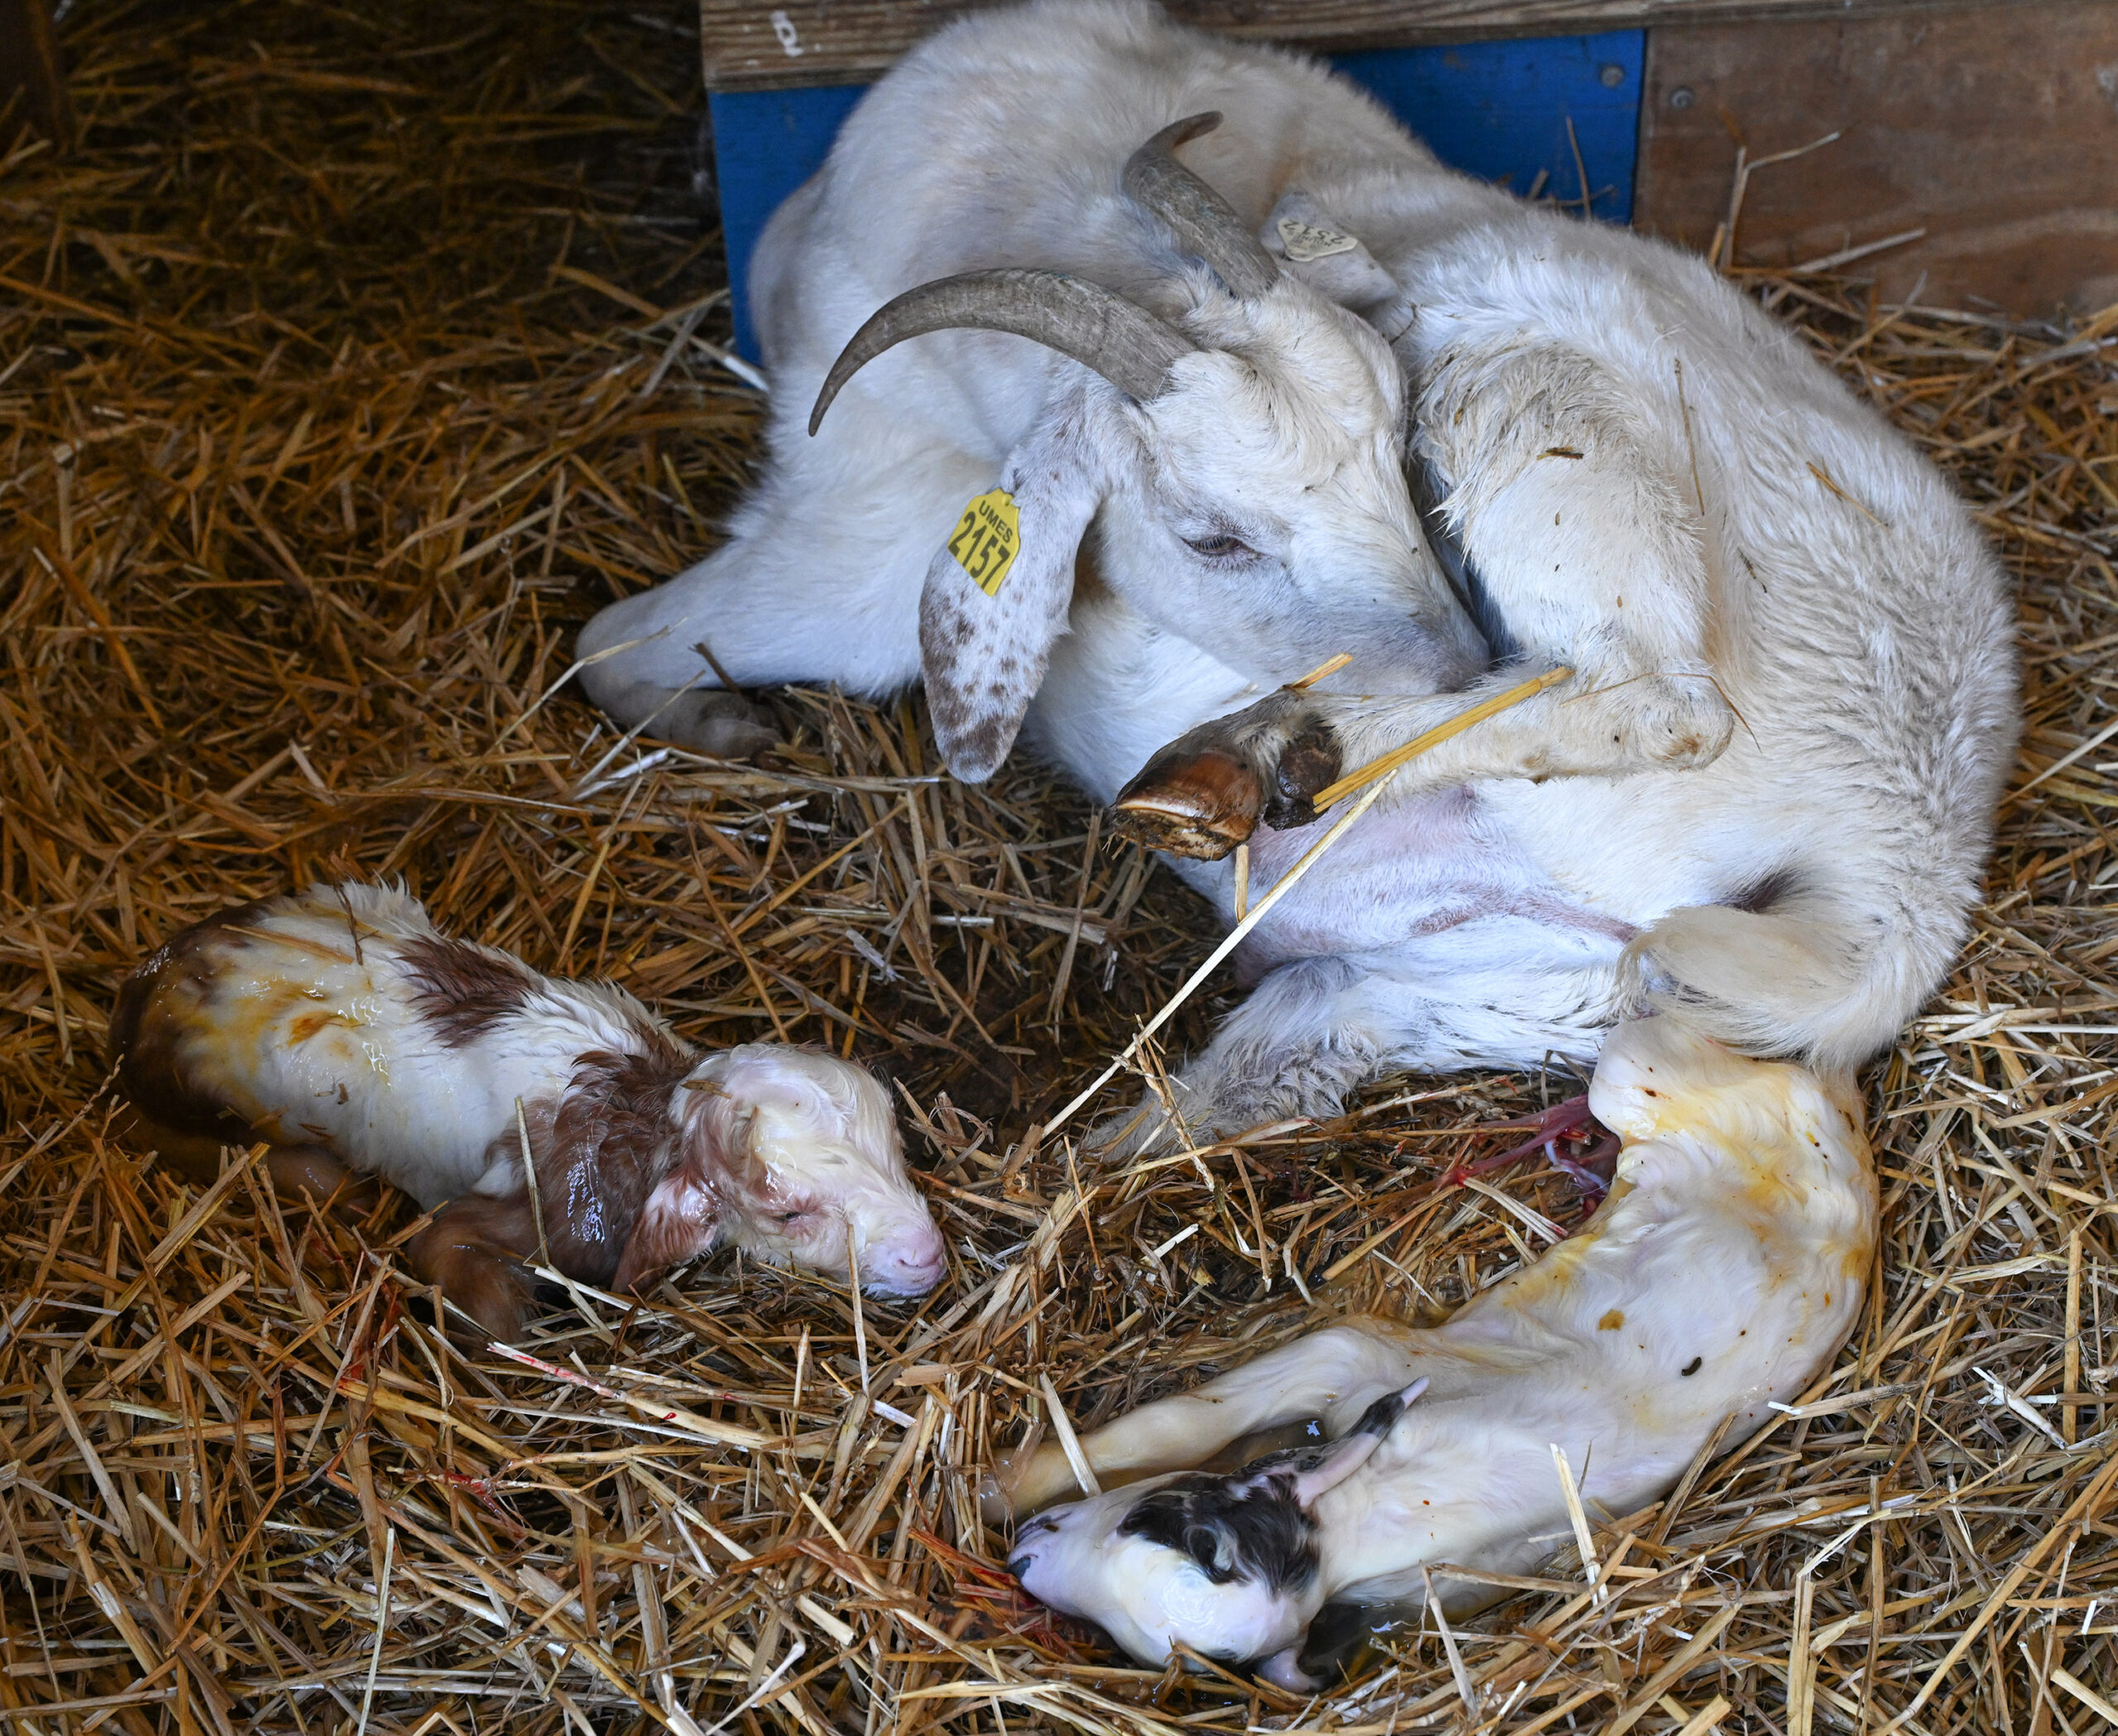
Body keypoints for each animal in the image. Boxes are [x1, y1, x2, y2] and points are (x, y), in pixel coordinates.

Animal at [110, 882, 948, 1341]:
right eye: (789, 1214)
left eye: (898, 1149)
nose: (927, 1256)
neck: (644, 1116)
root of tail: (150, 985)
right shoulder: (545, 1211)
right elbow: (447, 1253)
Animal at [577, 0, 2016, 1148]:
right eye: (1211, 536)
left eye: (1401, 447)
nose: (1458, 660)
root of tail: (1910, 868)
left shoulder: (861, 538)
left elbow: (615, 638)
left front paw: (711, 719)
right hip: (1504, 995)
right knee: (1268, 1064)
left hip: (1542, 408)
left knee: (1663, 698)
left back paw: (1272, 746)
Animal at [998, 1016, 1878, 1685]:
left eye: (1151, 1519)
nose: (1023, 1557)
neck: (1388, 1507)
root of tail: (1847, 1129)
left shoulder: (1353, 1355)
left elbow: (1178, 1421)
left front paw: (1001, 1482)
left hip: (1644, 1068)